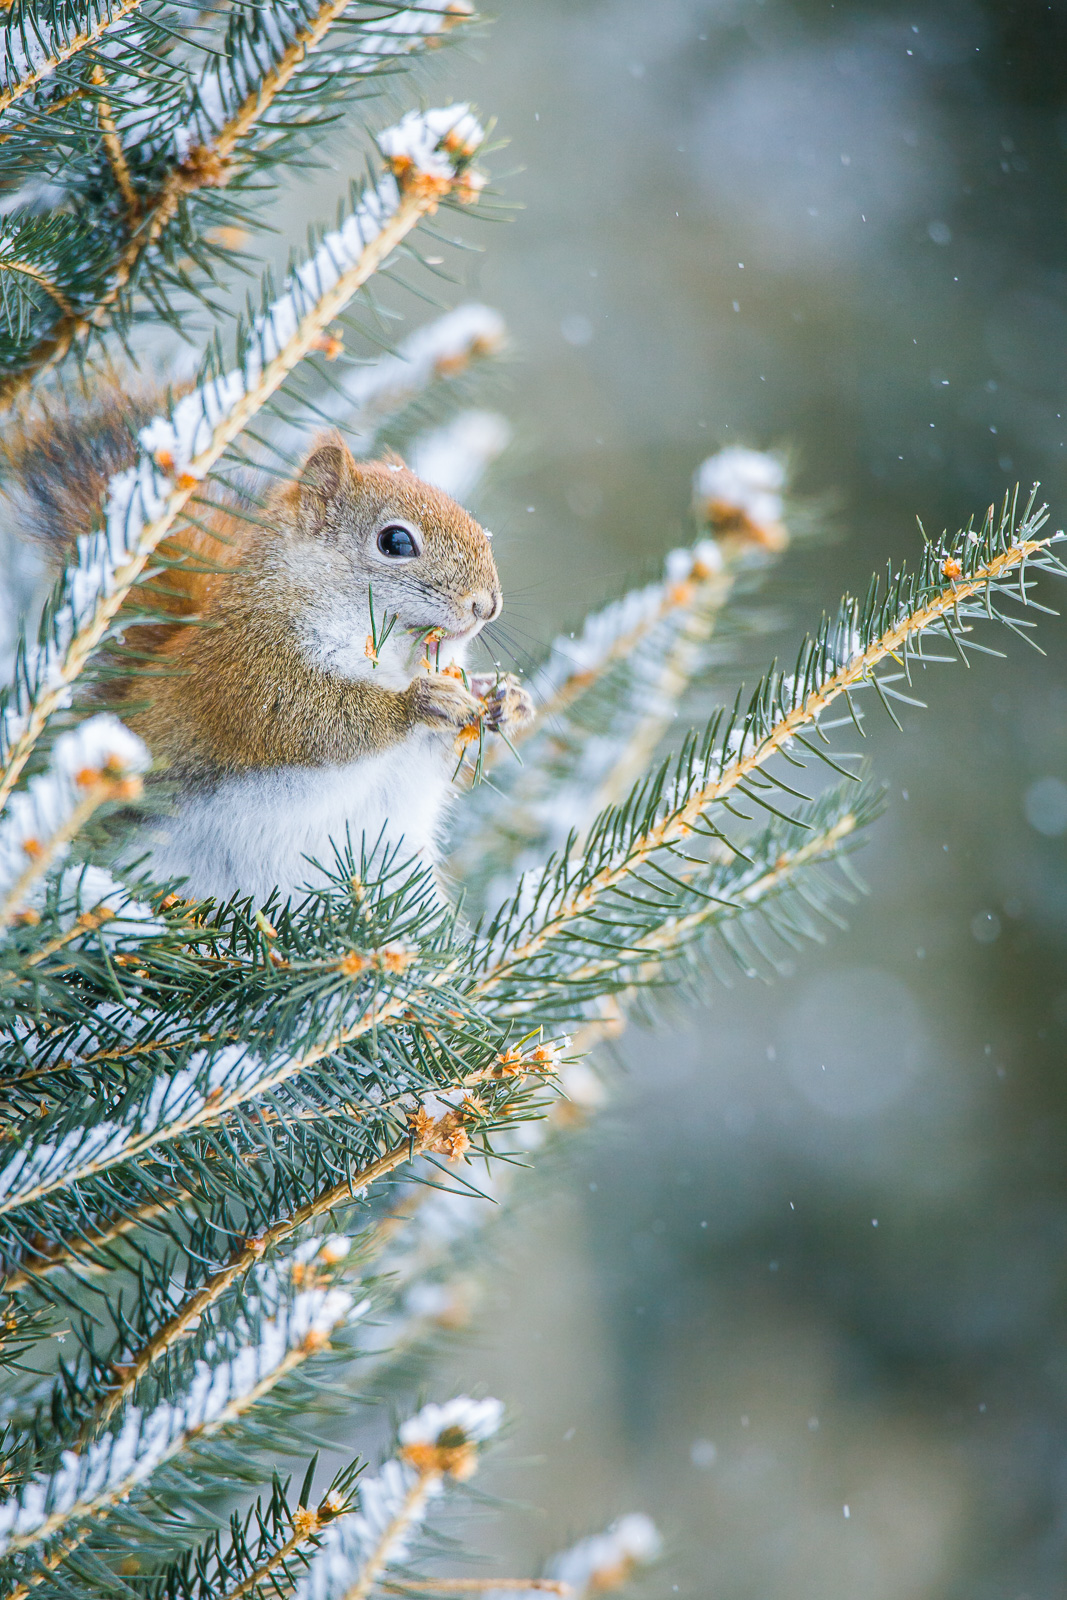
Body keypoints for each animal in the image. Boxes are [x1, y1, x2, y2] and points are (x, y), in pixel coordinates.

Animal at [7, 395, 534, 908]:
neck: (394, 660)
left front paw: (504, 698)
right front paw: (422, 701)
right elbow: (314, 721)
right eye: (396, 542)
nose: (486, 606)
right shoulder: (250, 667)